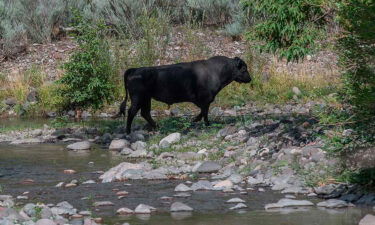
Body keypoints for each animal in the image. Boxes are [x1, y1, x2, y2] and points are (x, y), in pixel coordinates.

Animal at [116, 55, 253, 134]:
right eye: (244, 68)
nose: (250, 79)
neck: (216, 70)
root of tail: (135, 70)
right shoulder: (205, 99)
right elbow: (205, 112)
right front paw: (206, 124)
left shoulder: (204, 101)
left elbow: (202, 111)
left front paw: (195, 120)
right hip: (138, 98)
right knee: (132, 112)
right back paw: (128, 132)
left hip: (146, 99)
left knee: (145, 113)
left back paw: (157, 126)